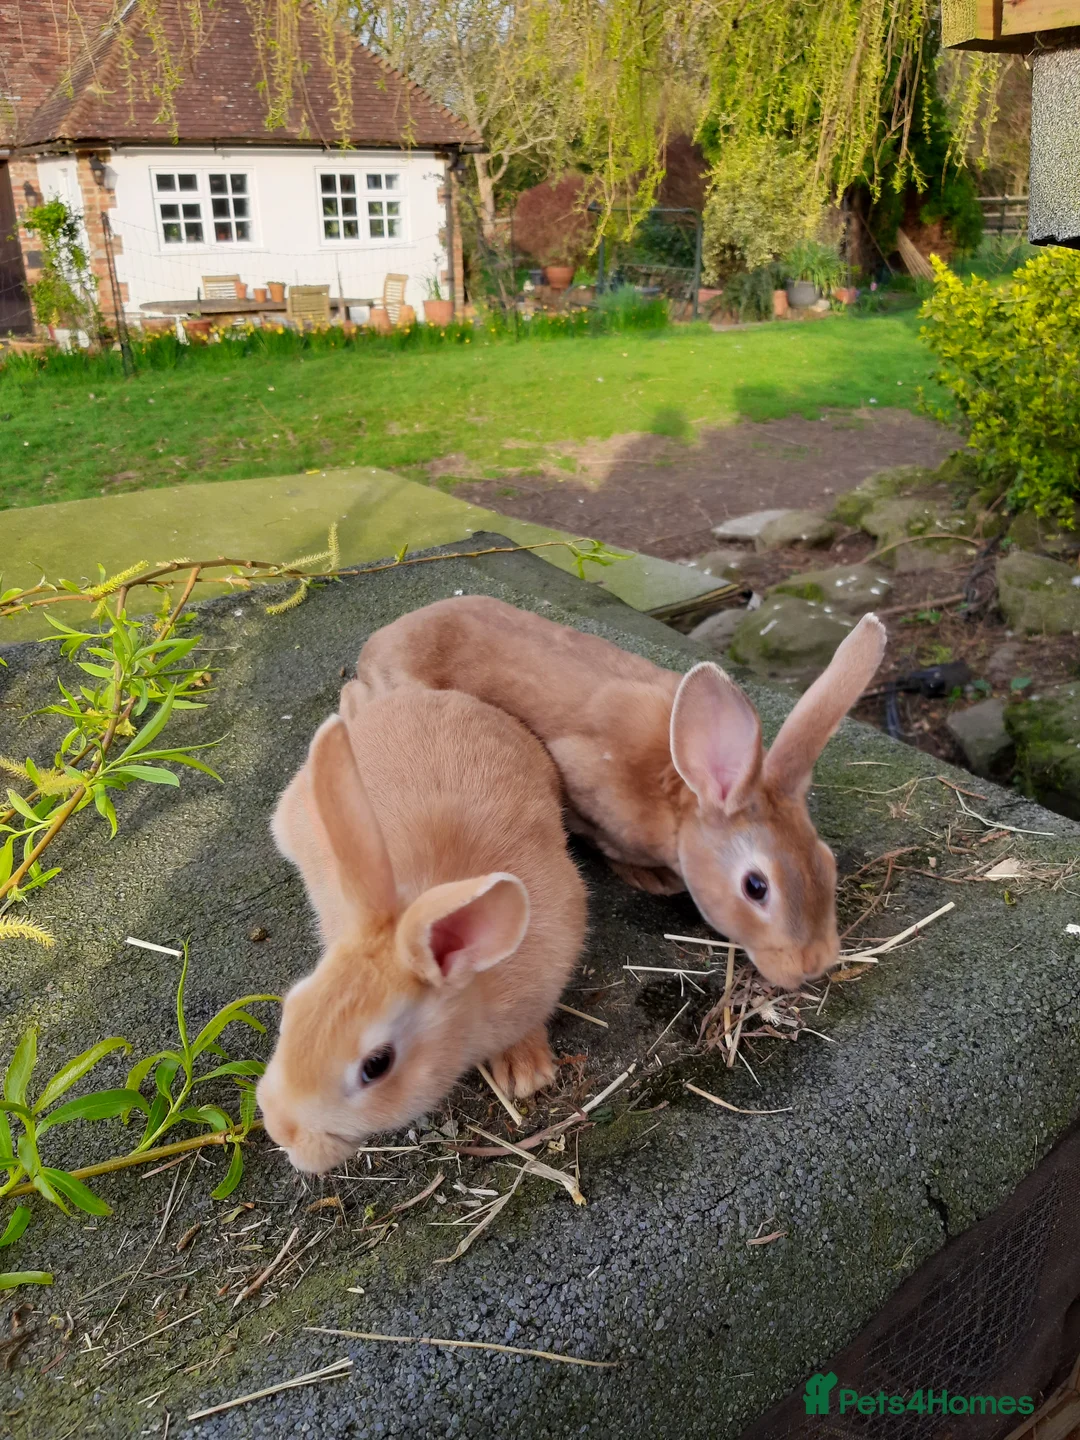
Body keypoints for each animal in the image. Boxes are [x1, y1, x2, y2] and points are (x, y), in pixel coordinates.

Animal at [356, 595, 887, 992]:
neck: (679, 799)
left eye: (826, 862)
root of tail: (377, 643)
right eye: (755, 887)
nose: (813, 965)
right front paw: (652, 879)